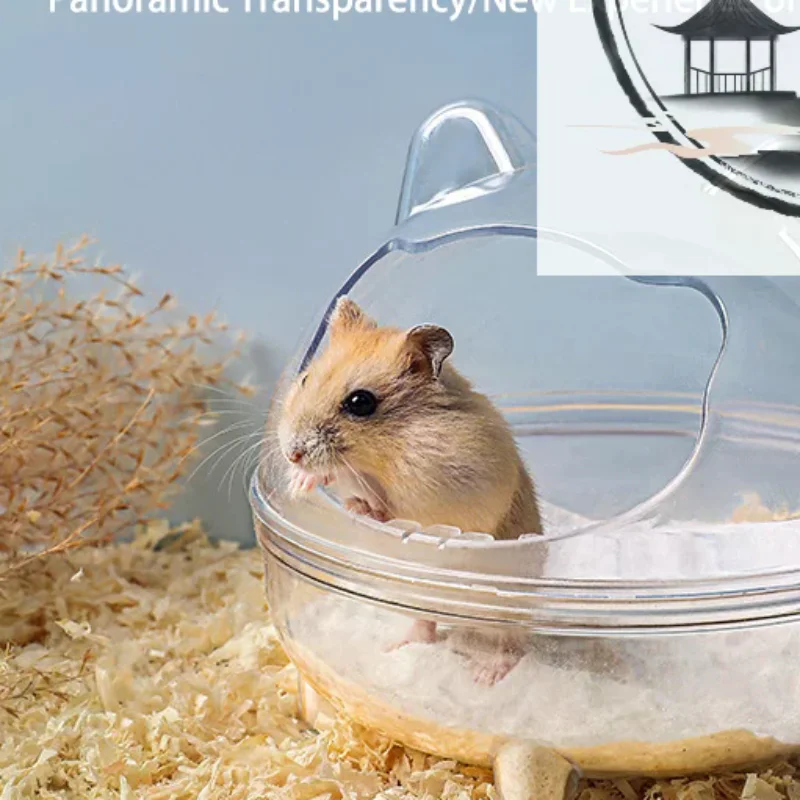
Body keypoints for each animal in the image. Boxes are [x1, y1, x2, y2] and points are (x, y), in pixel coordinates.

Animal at [276, 296, 544, 683]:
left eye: (360, 402)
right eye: (305, 379)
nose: (291, 452)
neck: (388, 447)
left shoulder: (444, 491)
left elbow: (387, 505)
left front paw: (362, 506)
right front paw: (300, 482)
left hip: (503, 609)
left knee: (510, 645)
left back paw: (485, 675)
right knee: (426, 625)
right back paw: (397, 646)